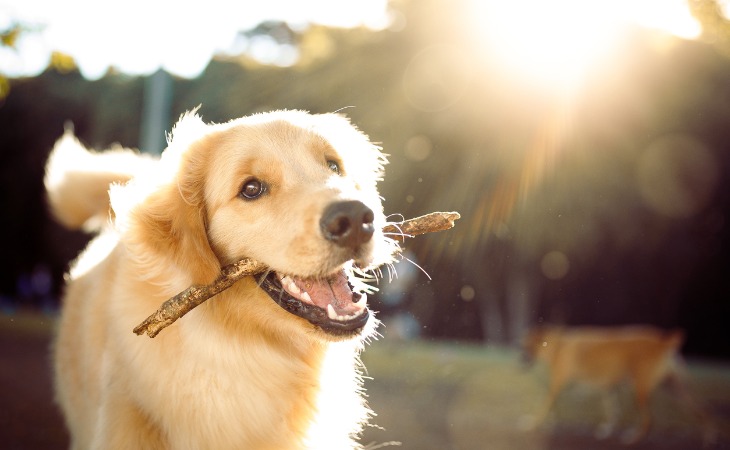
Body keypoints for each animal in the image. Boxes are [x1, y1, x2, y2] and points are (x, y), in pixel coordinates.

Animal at [520, 326, 712, 444]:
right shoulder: (608, 389)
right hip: (676, 388)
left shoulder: (556, 387)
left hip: (639, 389)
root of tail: (663, 342)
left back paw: (632, 438)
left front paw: (533, 423)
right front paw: (606, 431)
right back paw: (710, 438)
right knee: (702, 410)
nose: (520, 359)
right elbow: (613, 412)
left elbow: (543, 405)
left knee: (649, 420)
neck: (558, 346)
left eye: (527, 346)